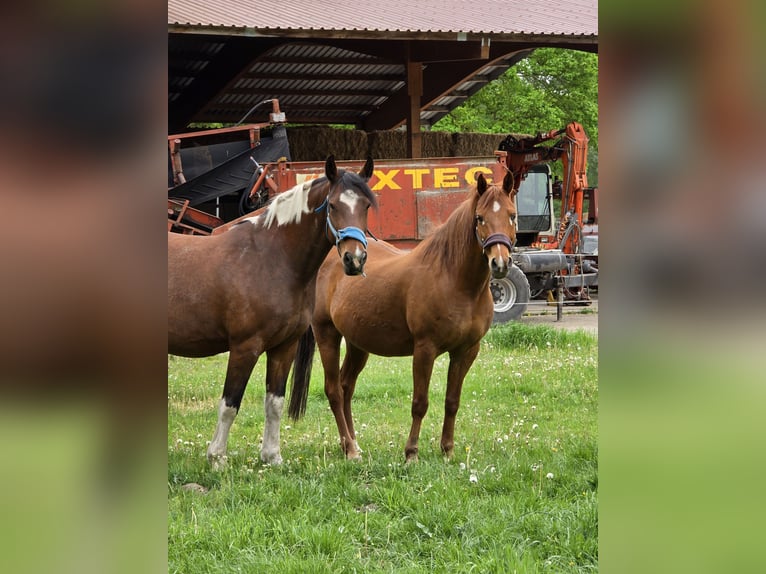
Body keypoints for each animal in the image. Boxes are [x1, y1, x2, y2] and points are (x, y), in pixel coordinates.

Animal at [168, 156, 377, 466]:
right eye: (333, 205)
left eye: (366, 205)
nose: (355, 259)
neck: (271, 258)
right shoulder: (245, 347)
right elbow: (230, 404)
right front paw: (217, 458)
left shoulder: (284, 346)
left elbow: (274, 402)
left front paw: (271, 456)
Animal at [289, 171, 517, 462]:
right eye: (480, 218)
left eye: (512, 215)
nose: (499, 263)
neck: (455, 281)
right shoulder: (425, 349)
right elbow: (420, 403)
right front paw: (411, 453)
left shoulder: (466, 351)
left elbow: (452, 401)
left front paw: (448, 450)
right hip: (327, 334)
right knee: (334, 391)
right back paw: (350, 449)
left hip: (357, 343)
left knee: (346, 385)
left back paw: (352, 443)